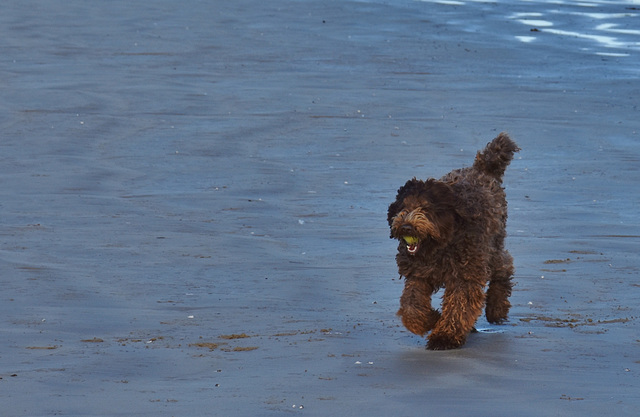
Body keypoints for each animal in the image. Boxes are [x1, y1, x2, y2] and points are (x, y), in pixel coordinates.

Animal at [384, 133, 520, 348]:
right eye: (403, 207)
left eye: (425, 208)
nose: (406, 227)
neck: (440, 245)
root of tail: (481, 169)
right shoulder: (418, 273)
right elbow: (411, 303)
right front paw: (429, 320)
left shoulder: (465, 273)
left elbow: (459, 305)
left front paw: (445, 336)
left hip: (492, 246)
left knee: (505, 265)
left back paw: (496, 308)